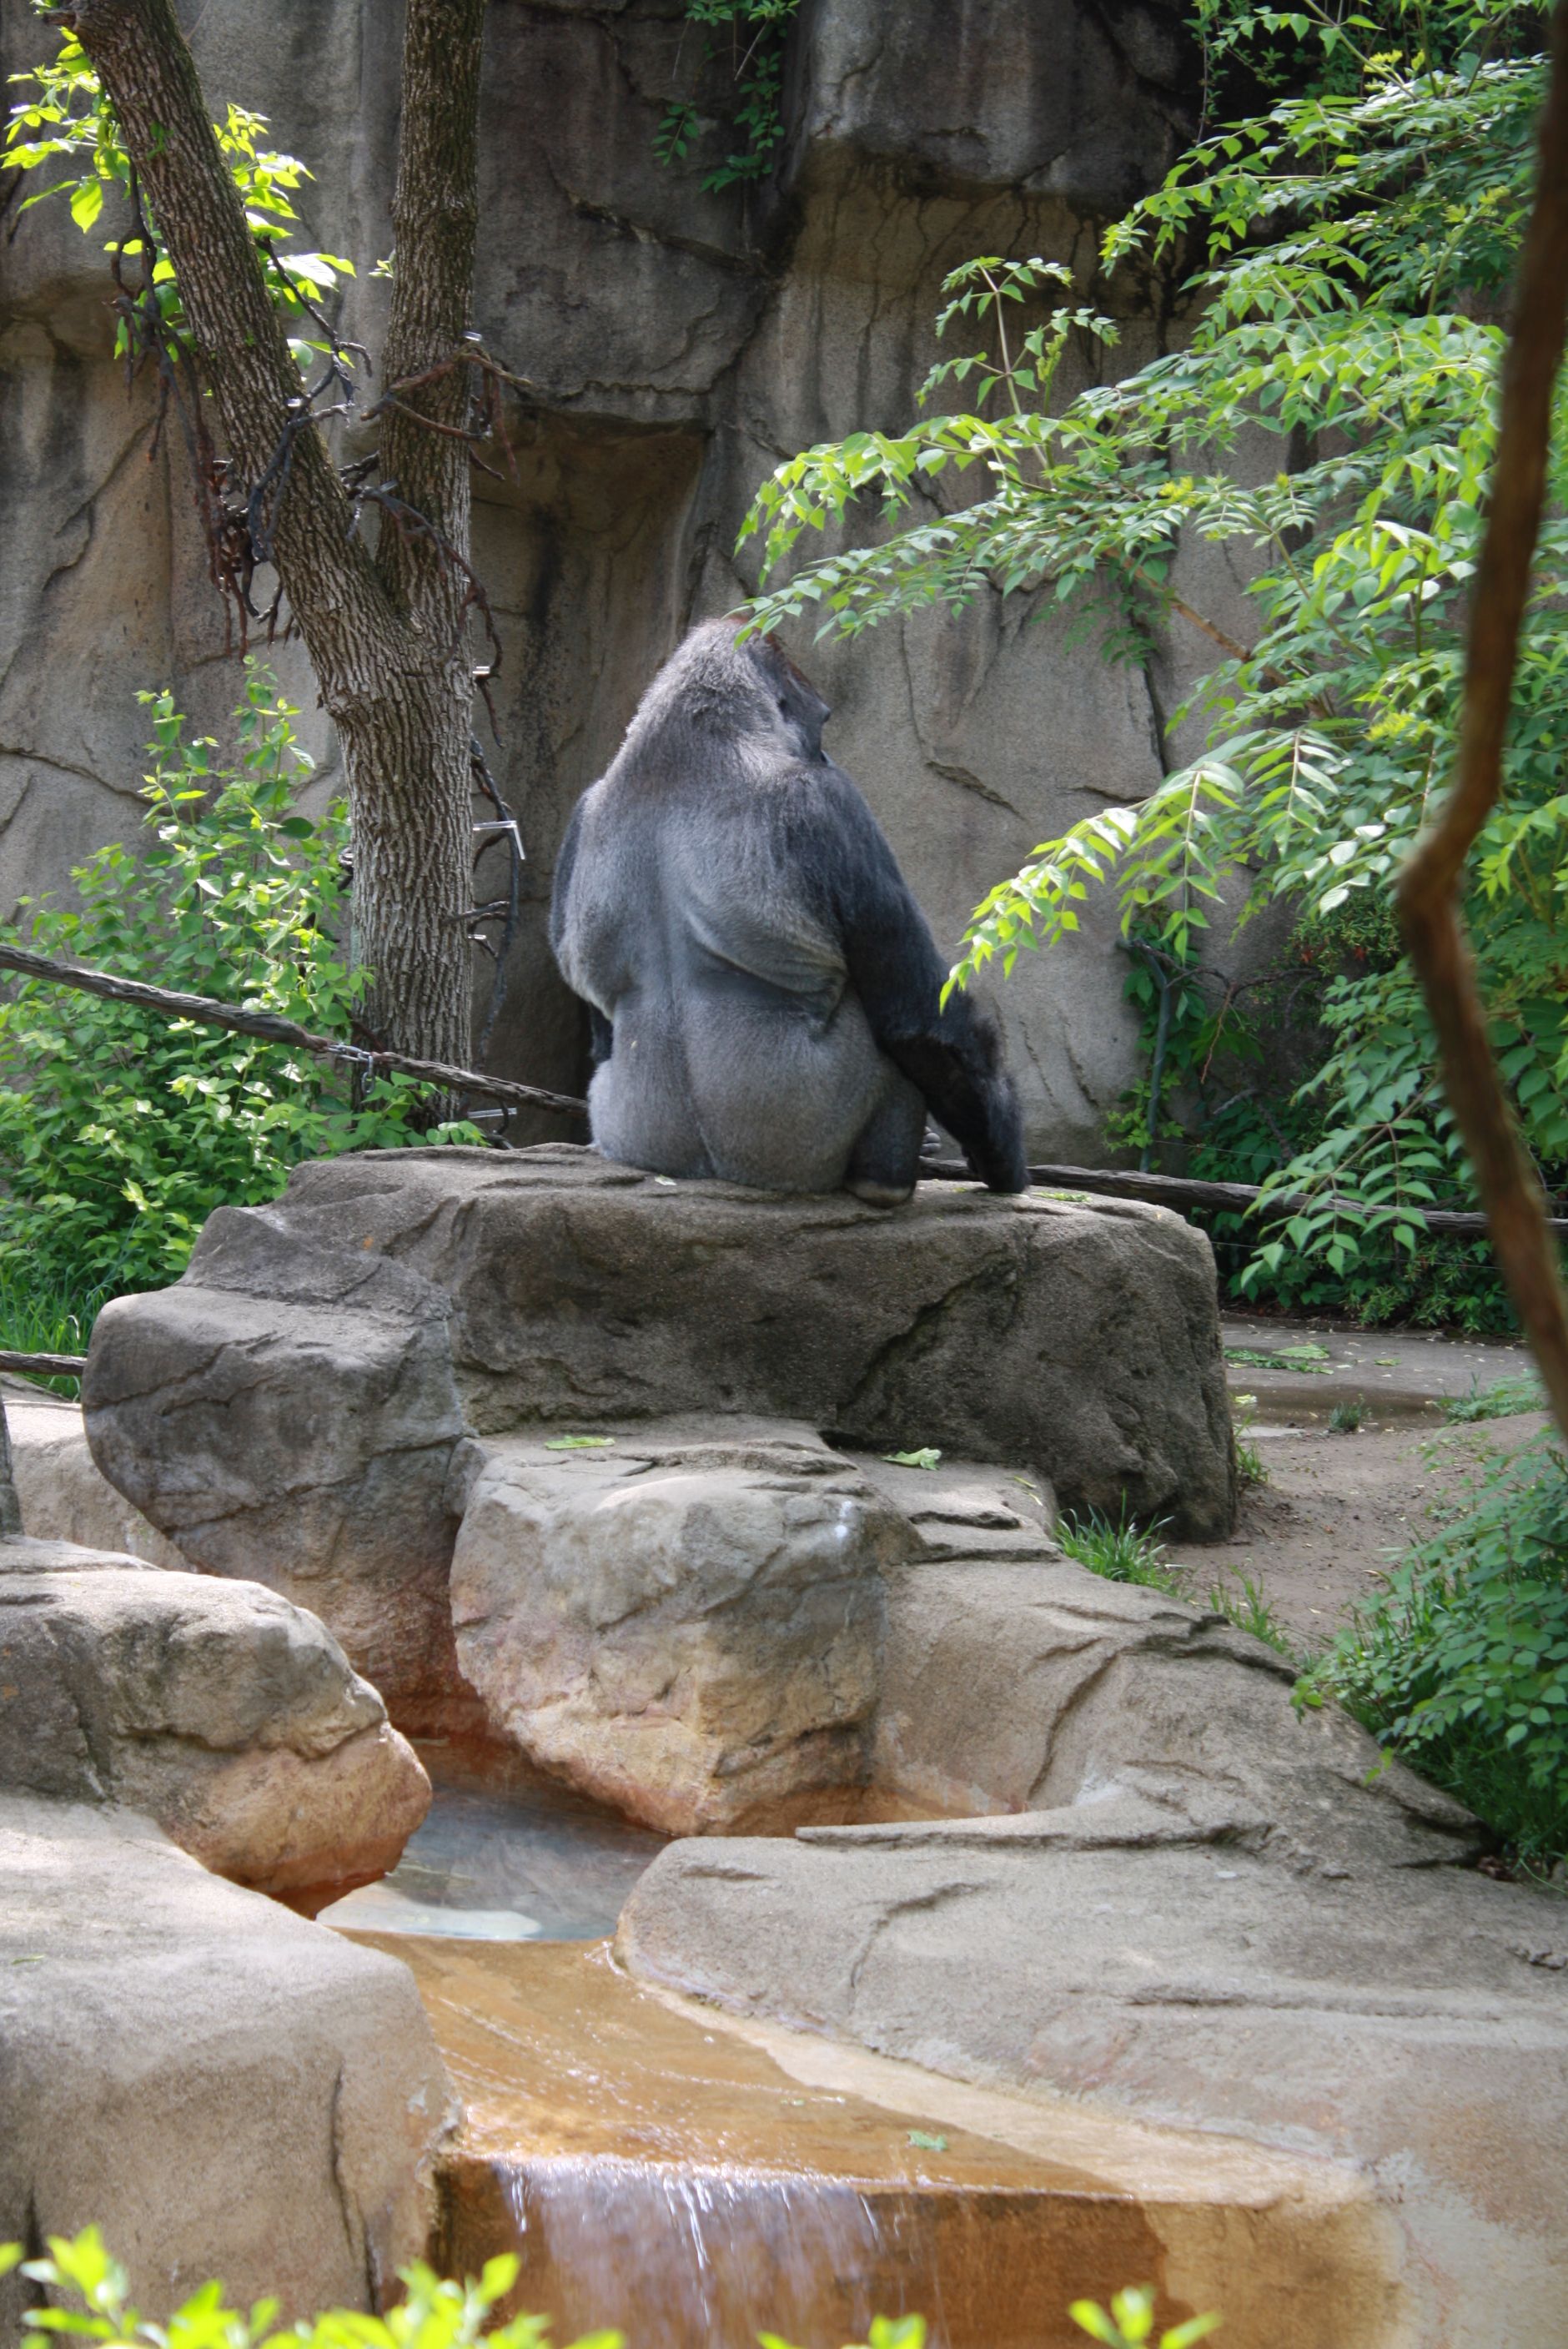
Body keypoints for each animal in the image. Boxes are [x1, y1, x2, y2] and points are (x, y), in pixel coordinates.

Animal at [548, 618, 1027, 1206]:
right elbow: (923, 1020)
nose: (826, 756)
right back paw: (885, 1181)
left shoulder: (580, 811)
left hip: (626, 1128)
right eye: (820, 723)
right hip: (790, 1149)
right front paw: (1001, 1157)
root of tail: (710, 1173)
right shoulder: (828, 803)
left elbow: (598, 1020)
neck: (683, 748)